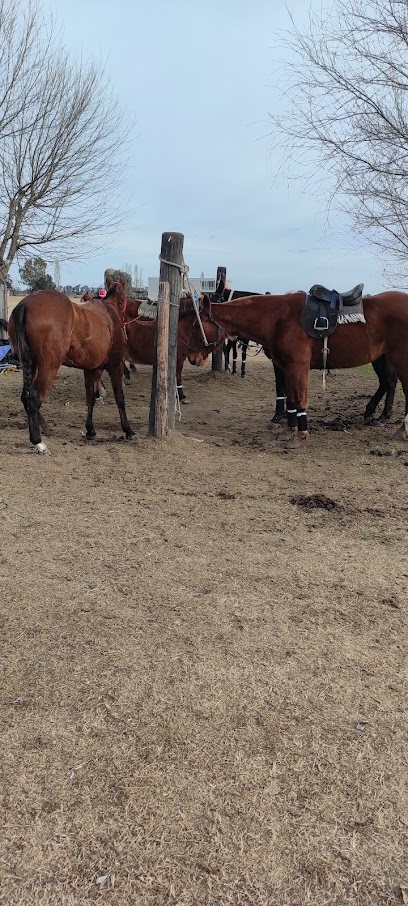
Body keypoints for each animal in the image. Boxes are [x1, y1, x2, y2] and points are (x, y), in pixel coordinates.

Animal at [8, 280, 134, 452]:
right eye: (124, 297)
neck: (109, 312)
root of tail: (25, 305)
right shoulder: (115, 366)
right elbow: (119, 398)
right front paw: (128, 430)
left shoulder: (91, 369)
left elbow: (90, 398)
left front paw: (90, 430)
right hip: (49, 366)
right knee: (34, 396)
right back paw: (38, 442)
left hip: (30, 364)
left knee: (25, 396)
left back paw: (44, 429)